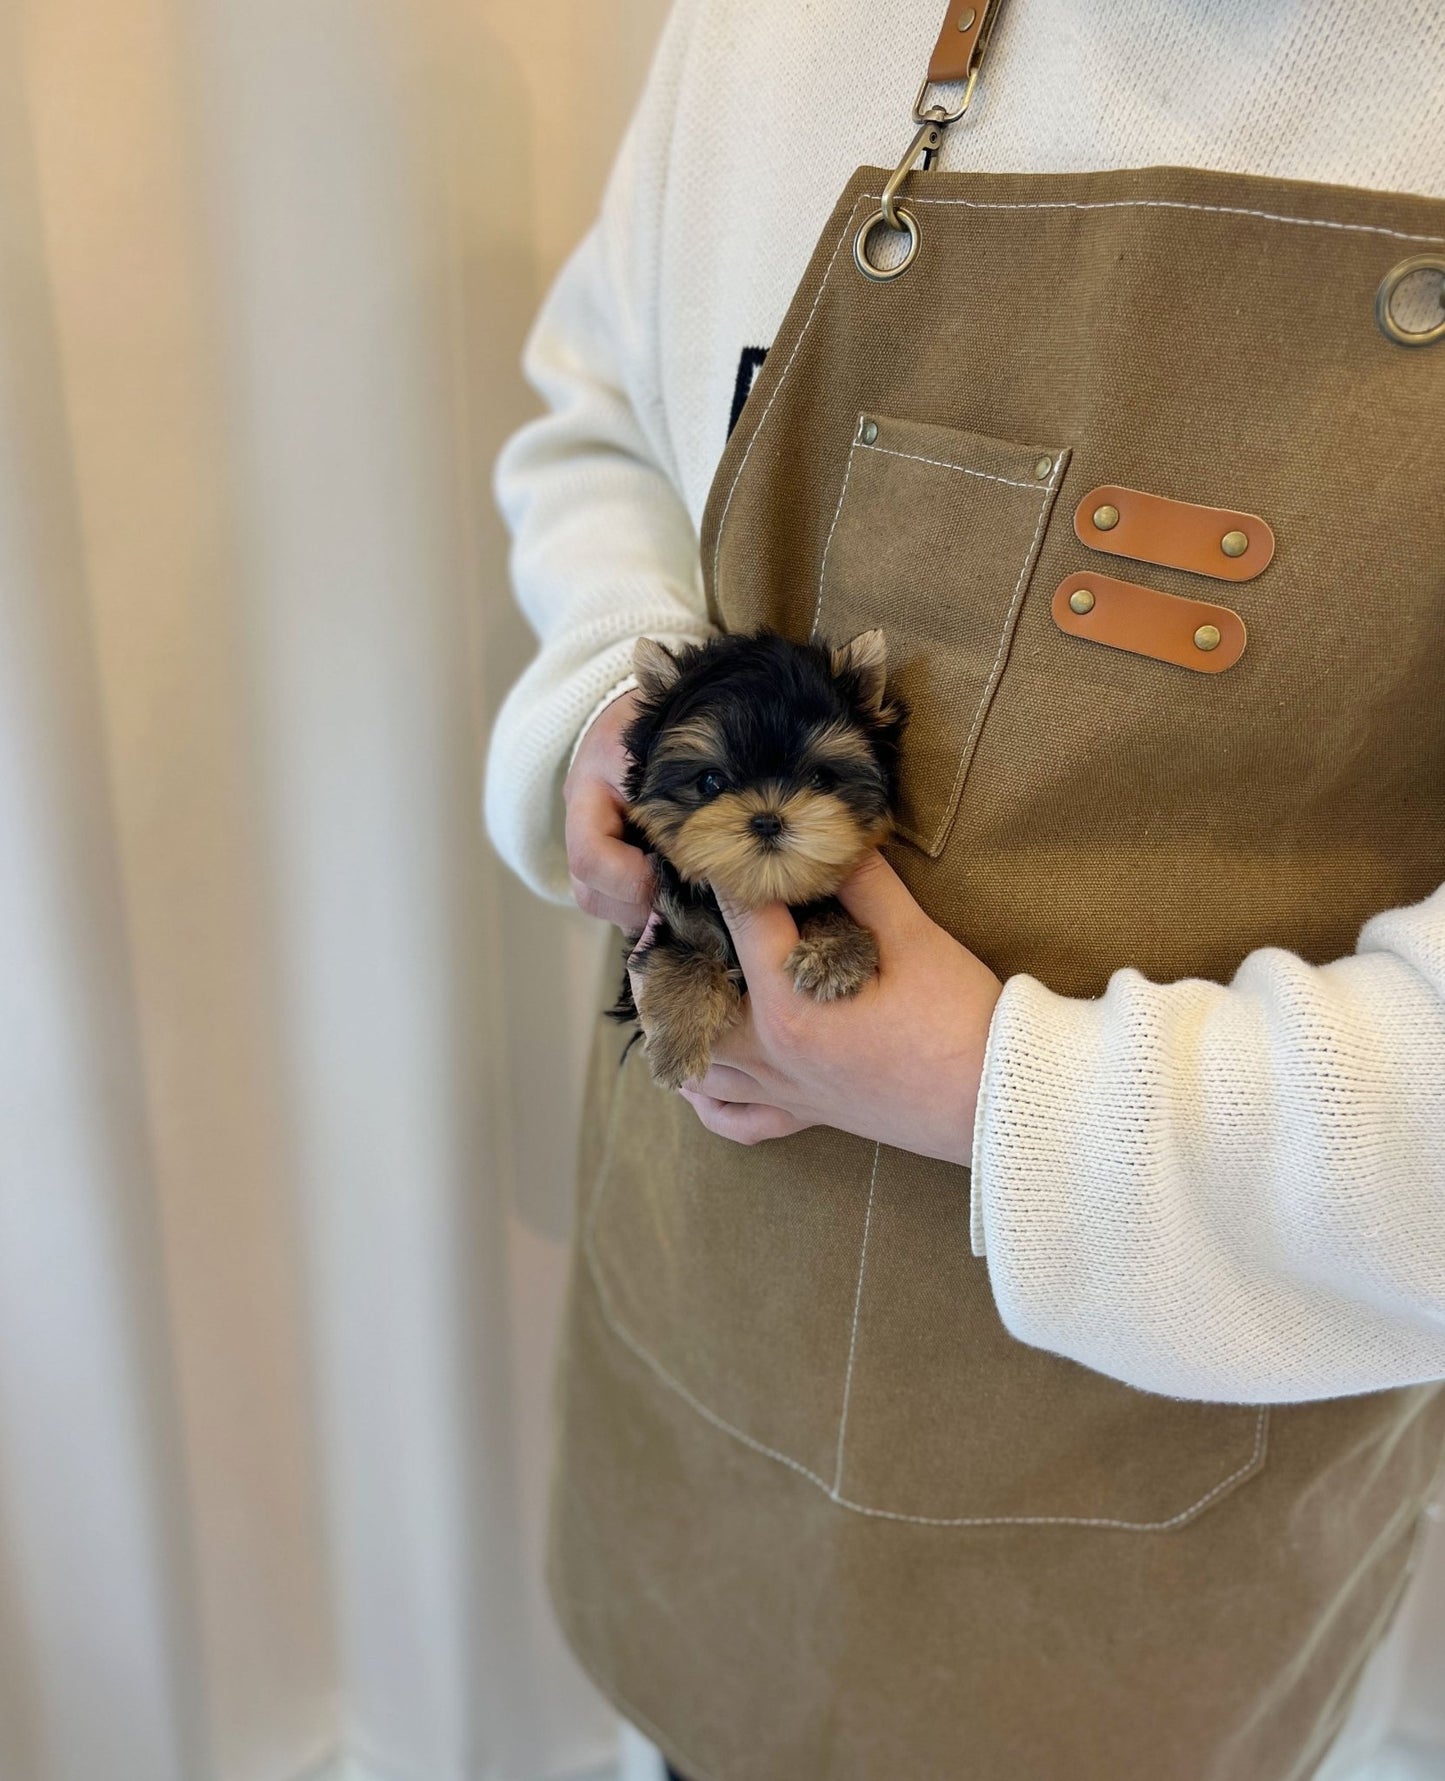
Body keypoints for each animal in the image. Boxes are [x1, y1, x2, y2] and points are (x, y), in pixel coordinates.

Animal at [616, 626, 908, 1097]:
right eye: (710, 782)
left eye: (820, 779)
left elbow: (827, 902)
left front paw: (834, 952)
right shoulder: (677, 912)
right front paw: (678, 1040)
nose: (768, 819)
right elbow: (681, 949)